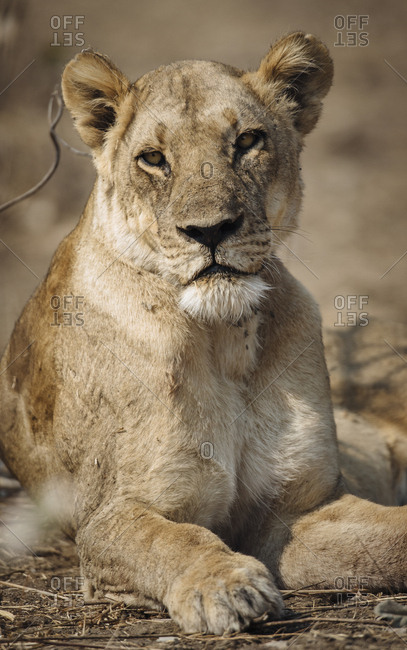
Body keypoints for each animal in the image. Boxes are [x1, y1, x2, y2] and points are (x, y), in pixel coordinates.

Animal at [1, 32, 406, 635]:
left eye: (247, 141)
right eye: (153, 158)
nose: (211, 231)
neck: (224, 336)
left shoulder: (297, 510)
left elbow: (390, 539)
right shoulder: (108, 517)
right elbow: (173, 540)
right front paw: (227, 585)